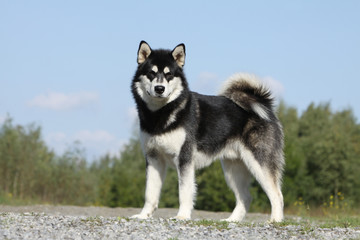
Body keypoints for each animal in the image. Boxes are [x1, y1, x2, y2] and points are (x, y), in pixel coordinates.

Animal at [131, 41, 286, 223]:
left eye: (169, 75)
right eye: (151, 73)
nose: (159, 88)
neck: (160, 114)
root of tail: (263, 105)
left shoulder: (184, 158)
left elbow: (184, 192)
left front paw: (182, 216)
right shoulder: (153, 158)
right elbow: (150, 193)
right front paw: (143, 215)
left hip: (259, 163)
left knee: (277, 194)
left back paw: (275, 220)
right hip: (233, 169)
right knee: (245, 197)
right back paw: (232, 220)